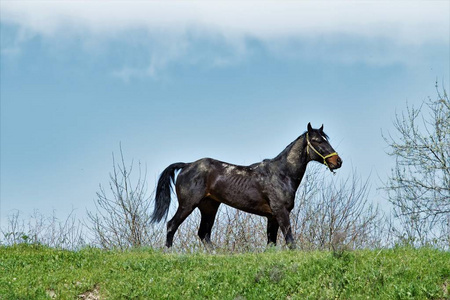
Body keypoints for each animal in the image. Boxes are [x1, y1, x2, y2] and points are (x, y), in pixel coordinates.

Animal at [151, 122, 342, 248]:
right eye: (317, 140)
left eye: (326, 139)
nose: (337, 161)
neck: (281, 174)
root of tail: (187, 165)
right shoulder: (281, 212)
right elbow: (290, 241)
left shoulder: (272, 216)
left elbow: (271, 244)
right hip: (188, 204)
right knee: (172, 225)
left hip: (209, 206)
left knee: (204, 234)